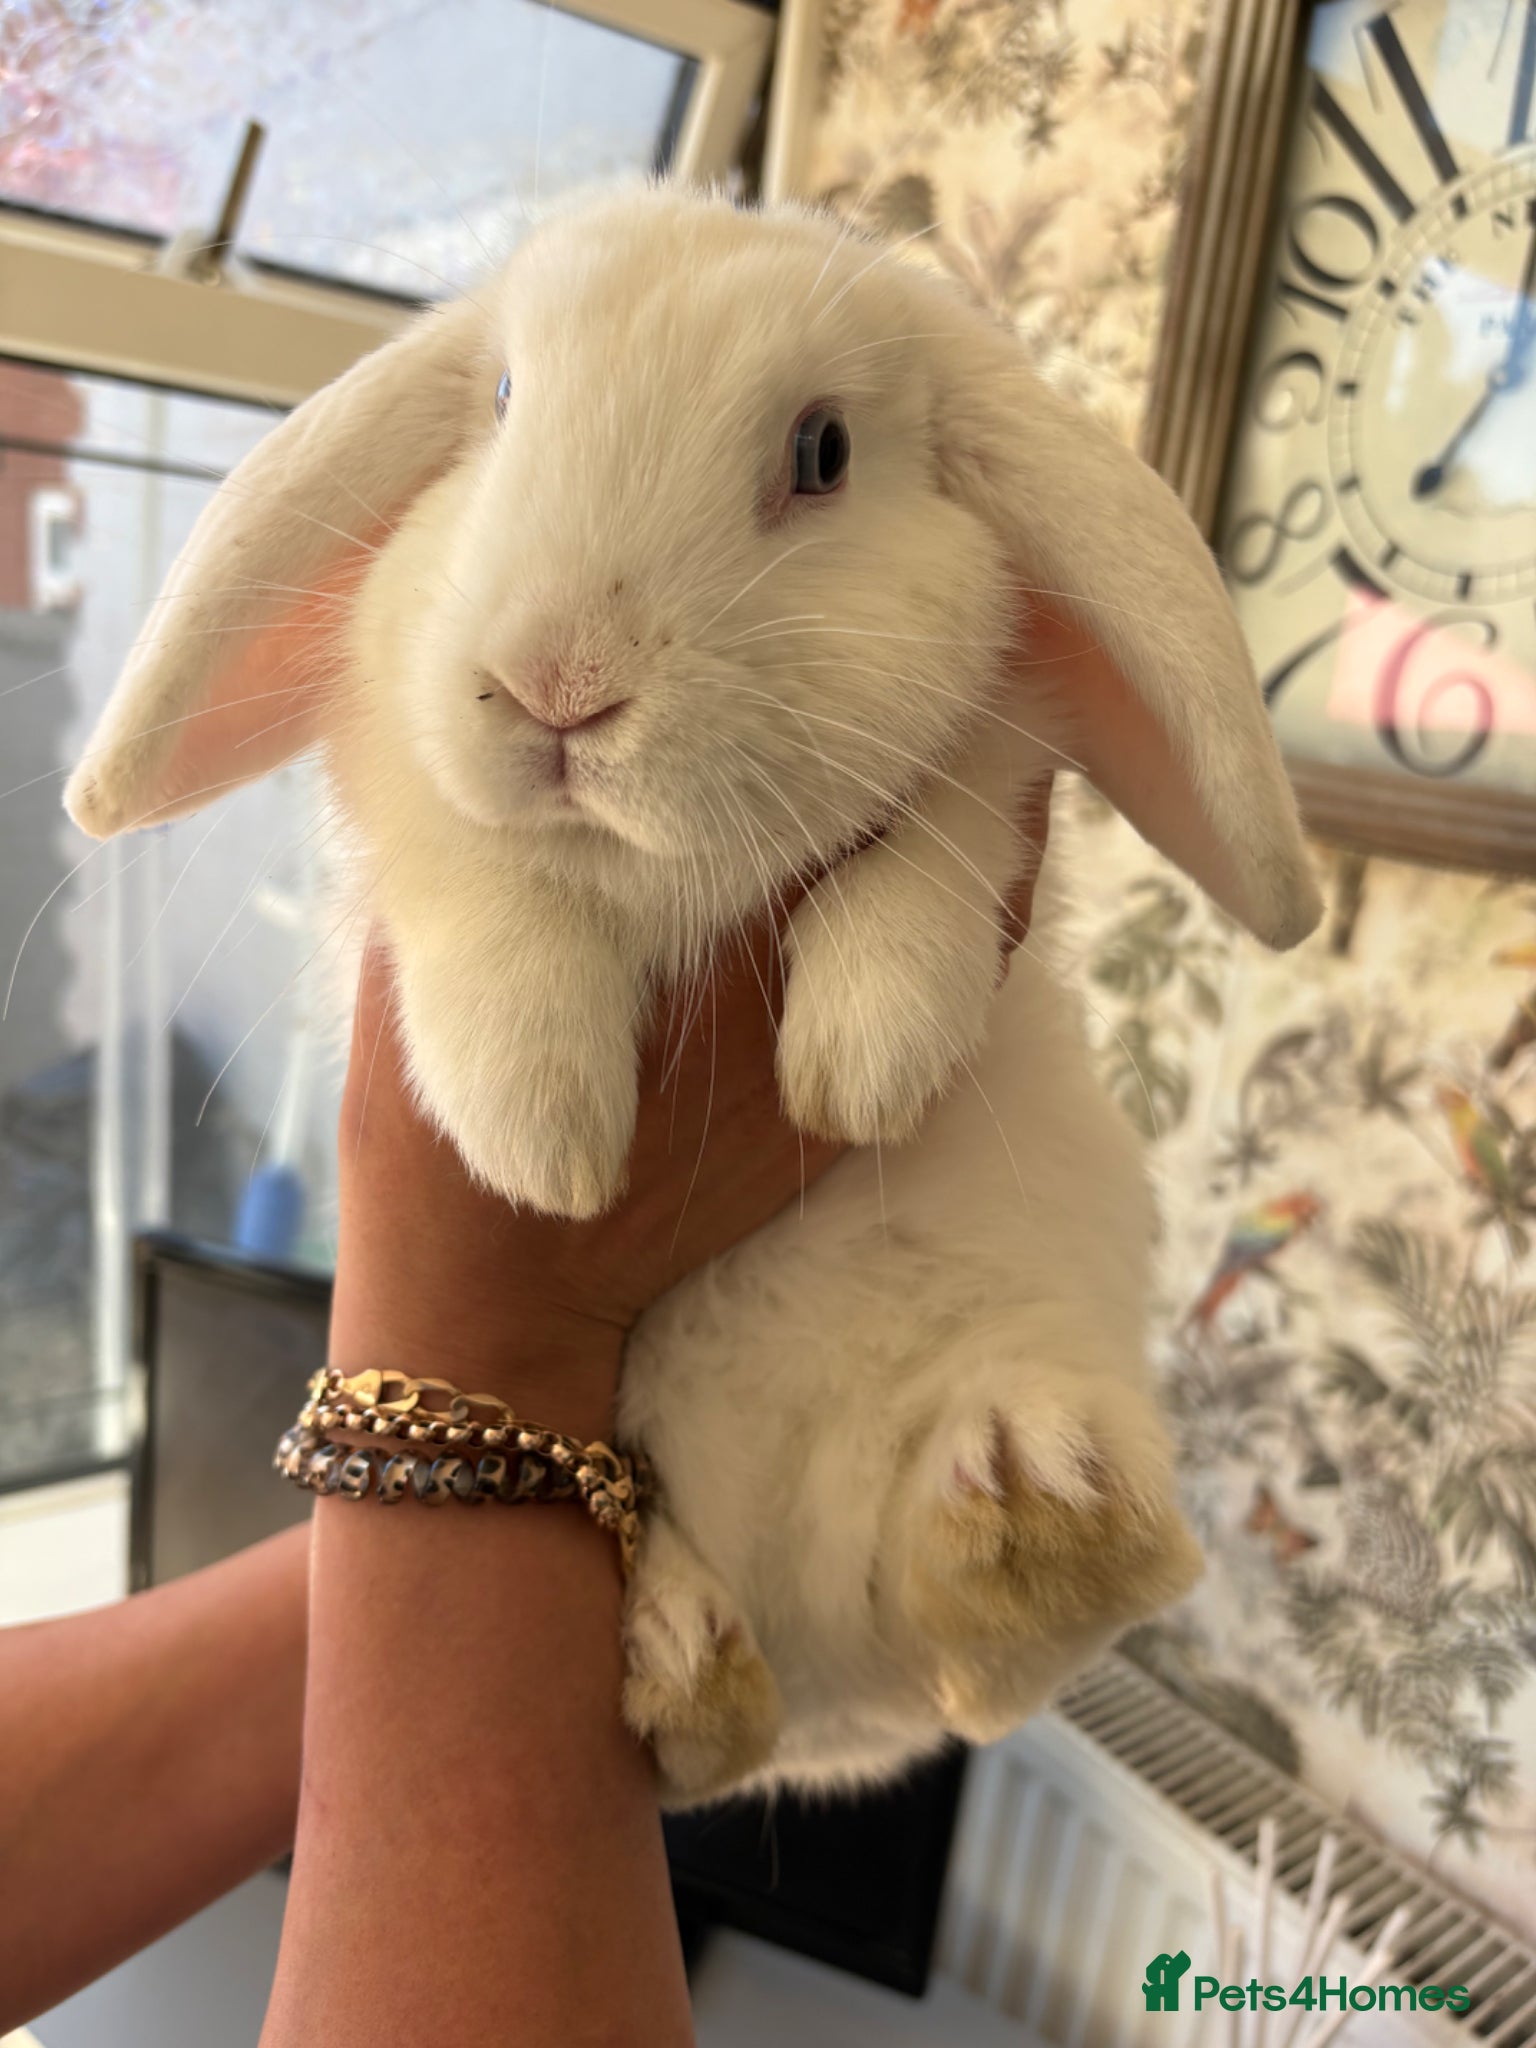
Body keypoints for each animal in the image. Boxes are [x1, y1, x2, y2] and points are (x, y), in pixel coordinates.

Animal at [64, 182, 1321, 1805]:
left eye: (823, 451)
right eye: (505, 402)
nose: (555, 684)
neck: (658, 870)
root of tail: (823, 1685)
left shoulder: (994, 753)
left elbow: (934, 843)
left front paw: (863, 1061)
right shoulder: (415, 797)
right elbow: (487, 888)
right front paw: (544, 1136)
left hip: (1016, 1380)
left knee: (1000, 1628)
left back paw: (1037, 1507)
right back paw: (687, 1656)